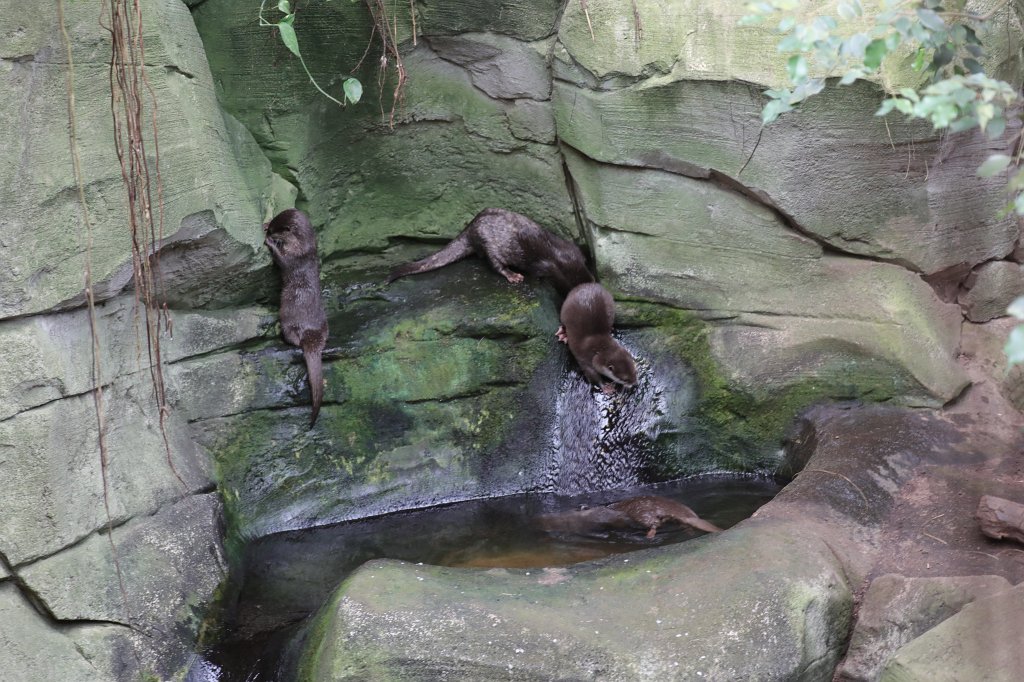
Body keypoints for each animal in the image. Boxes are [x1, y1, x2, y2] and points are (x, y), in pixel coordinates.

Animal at [264, 209, 328, 426]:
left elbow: (282, 261)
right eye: (272, 224)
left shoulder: (294, 257)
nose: (269, 229)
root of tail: (312, 333)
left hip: (289, 320)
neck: (303, 247)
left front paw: (270, 242)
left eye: (277, 229)